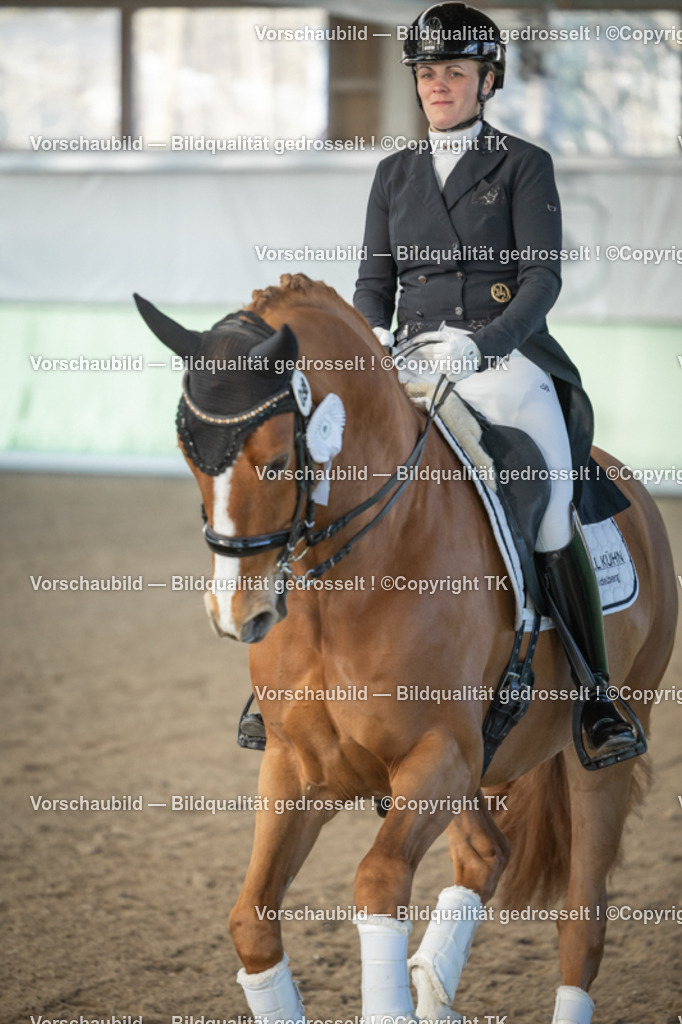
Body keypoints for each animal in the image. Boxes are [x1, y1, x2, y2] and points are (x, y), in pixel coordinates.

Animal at [135, 273, 677, 1024]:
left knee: (583, 918)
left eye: (274, 462)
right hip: (482, 763)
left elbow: (377, 880)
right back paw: (433, 981)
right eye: (189, 456)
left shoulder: (438, 758)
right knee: (485, 853)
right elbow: (251, 917)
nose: (236, 614)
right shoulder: (300, 765)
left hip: (599, 754)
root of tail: (629, 487)